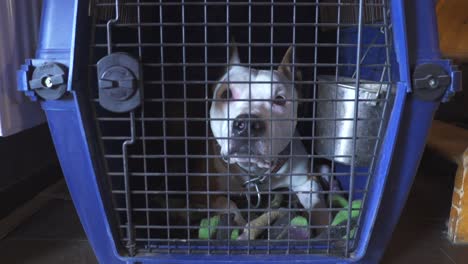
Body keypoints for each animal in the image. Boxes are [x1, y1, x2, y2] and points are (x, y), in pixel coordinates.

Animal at [192, 45, 328, 239]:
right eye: (226, 94)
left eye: (279, 100)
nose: (248, 125)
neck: (255, 171)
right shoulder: (200, 191)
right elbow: (227, 204)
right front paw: (242, 226)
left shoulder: (307, 181)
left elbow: (320, 209)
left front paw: (329, 231)